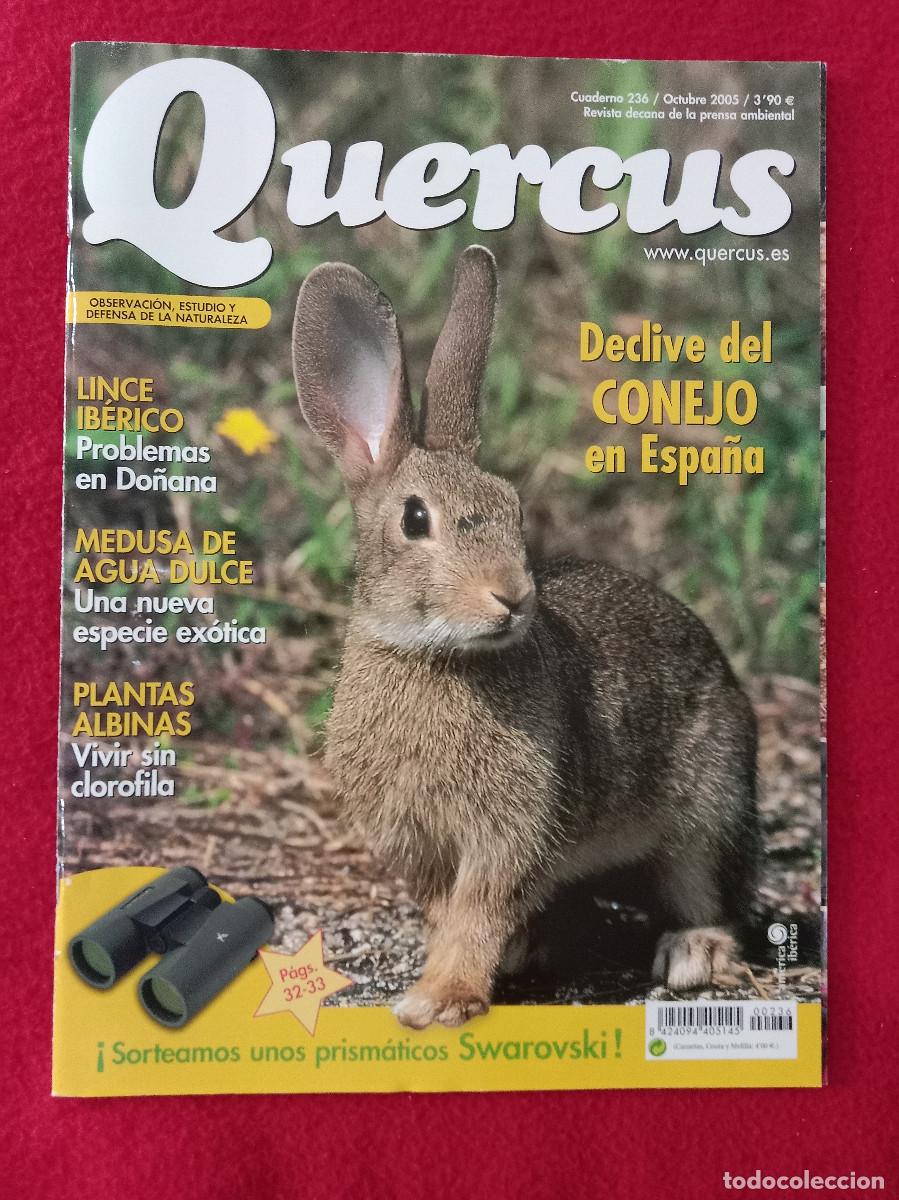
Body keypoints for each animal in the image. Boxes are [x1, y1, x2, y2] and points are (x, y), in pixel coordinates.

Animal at [291, 245, 760, 1029]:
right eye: (415, 520)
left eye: (513, 507)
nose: (512, 596)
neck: (438, 659)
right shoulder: (417, 842)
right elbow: (449, 910)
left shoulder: (510, 831)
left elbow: (477, 910)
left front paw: (439, 1000)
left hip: (708, 803)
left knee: (703, 886)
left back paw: (692, 952)